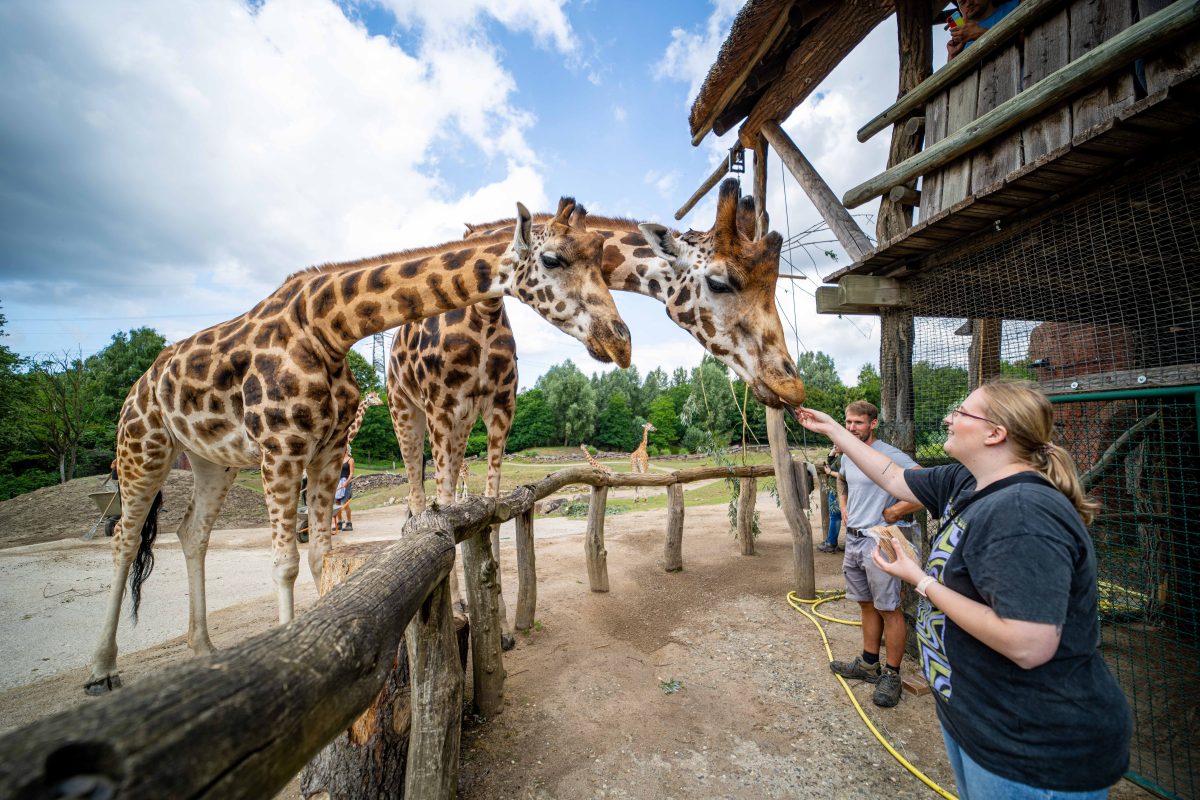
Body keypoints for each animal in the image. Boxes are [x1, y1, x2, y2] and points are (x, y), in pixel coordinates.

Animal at [84, 195, 633, 695]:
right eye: (552, 259)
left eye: (600, 253)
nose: (621, 340)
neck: (329, 327)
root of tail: (139, 385)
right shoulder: (283, 448)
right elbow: (285, 562)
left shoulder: (330, 450)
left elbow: (323, 555)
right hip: (144, 447)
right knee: (124, 538)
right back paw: (102, 670)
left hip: (209, 460)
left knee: (191, 533)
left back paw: (202, 649)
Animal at [388, 178, 811, 633]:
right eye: (719, 283)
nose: (791, 384)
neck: (482, 309)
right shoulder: (442, 408)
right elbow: (445, 511)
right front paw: (463, 613)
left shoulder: (498, 409)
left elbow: (491, 509)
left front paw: (498, 621)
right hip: (408, 411)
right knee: (421, 498)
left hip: (461, 422)